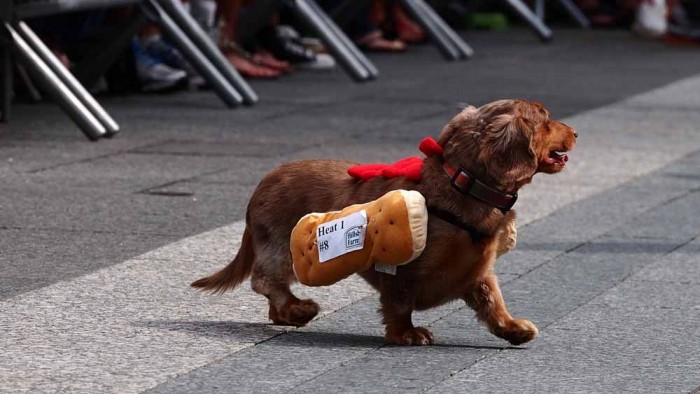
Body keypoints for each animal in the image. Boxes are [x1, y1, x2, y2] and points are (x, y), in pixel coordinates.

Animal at [191, 100, 576, 346]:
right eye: (545, 118)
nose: (575, 132)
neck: (463, 185)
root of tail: (262, 182)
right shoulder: (400, 270)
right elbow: (399, 303)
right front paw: (406, 334)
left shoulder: (477, 272)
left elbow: (493, 302)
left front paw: (513, 329)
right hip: (282, 248)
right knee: (265, 280)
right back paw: (300, 307)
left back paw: (289, 313)